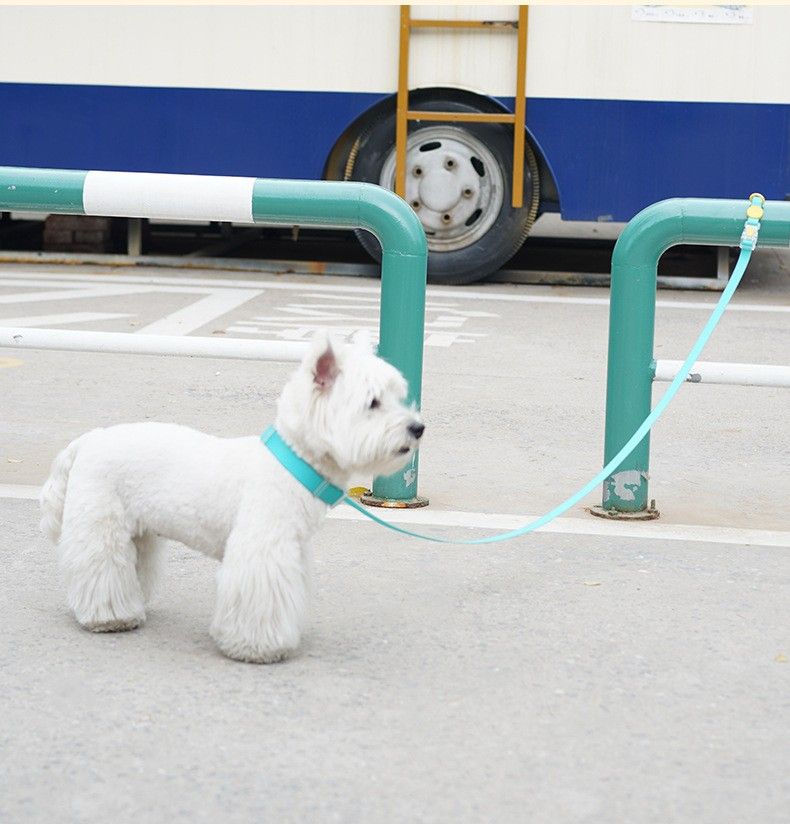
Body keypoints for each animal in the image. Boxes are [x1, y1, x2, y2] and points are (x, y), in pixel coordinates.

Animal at [41, 334, 426, 664]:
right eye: (373, 403)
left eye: (398, 397)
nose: (418, 428)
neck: (292, 463)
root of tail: (89, 439)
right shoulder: (261, 551)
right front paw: (257, 648)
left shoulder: (293, 549)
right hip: (101, 524)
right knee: (99, 567)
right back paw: (109, 616)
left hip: (139, 533)